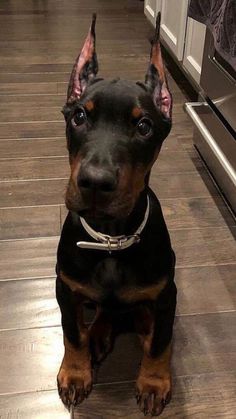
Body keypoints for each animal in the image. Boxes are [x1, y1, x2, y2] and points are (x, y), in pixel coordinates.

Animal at [56, 12, 176, 416]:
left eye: (144, 126)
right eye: (79, 116)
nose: (95, 182)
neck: (111, 238)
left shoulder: (167, 293)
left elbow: (162, 342)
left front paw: (153, 382)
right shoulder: (65, 288)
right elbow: (71, 333)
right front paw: (75, 373)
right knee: (103, 311)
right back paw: (98, 334)